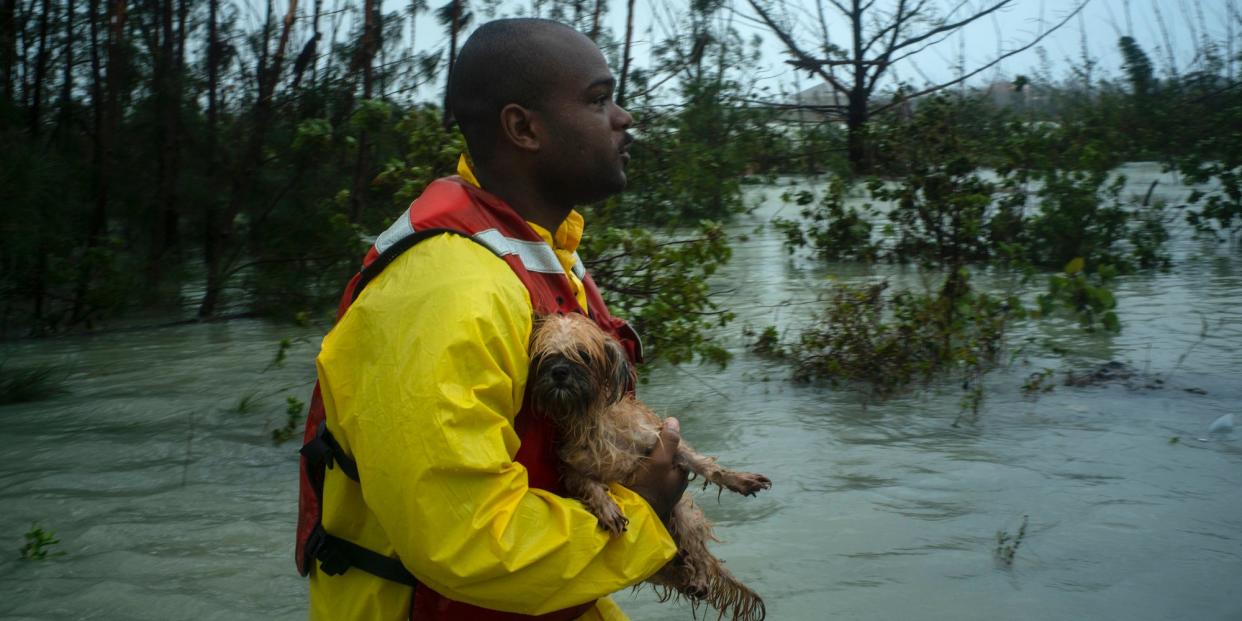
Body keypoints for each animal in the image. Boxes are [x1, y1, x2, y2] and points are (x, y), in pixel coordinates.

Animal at [529, 315, 770, 621]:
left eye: (583, 354)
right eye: (544, 356)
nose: (559, 371)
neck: (592, 420)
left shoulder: (659, 441)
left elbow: (703, 464)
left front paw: (738, 479)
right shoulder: (572, 467)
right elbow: (588, 484)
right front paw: (606, 507)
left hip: (684, 515)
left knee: (699, 554)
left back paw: (699, 575)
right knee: (673, 570)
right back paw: (684, 572)